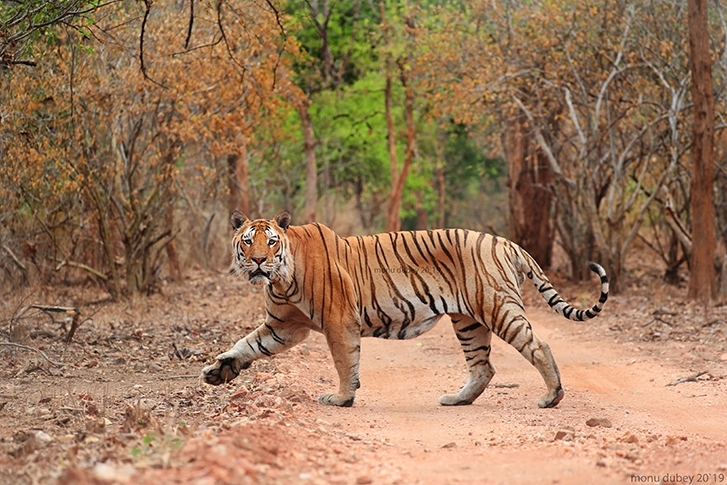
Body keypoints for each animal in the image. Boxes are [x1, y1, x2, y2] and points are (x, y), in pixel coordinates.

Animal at [202, 210, 612, 406]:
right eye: (248, 241)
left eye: (271, 242)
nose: (258, 261)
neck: (281, 280)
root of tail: (507, 243)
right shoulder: (285, 326)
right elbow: (246, 344)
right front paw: (218, 371)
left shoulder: (337, 321)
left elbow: (344, 361)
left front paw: (342, 398)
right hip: (468, 321)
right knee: (483, 367)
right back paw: (457, 400)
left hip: (496, 306)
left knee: (538, 345)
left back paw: (552, 397)